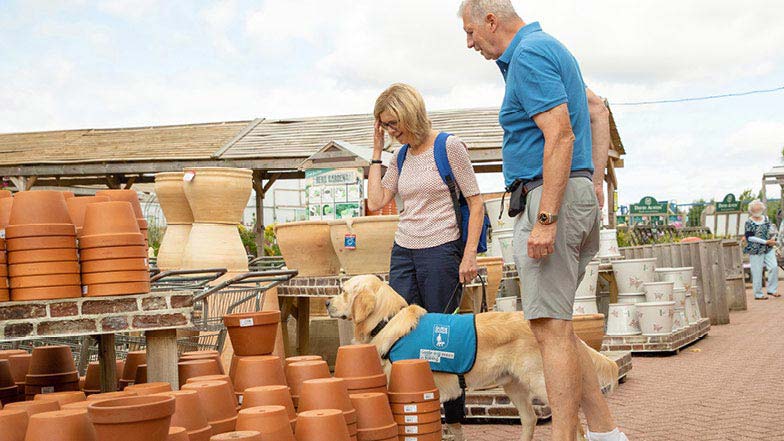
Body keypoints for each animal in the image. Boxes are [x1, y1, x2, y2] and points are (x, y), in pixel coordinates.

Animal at [324, 274, 620, 440]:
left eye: (343, 290)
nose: (326, 303)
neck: (387, 320)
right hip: (513, 384)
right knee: (530, 419)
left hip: (542, 381)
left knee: (572, 420)